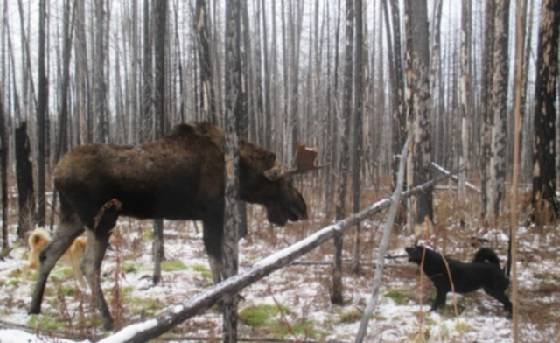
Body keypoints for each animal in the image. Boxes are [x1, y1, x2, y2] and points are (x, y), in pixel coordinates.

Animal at [28, 123, 308, 330]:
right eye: (285, 181)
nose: (302, 207)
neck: (241, 173)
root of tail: (57, 173)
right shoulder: (212, 213)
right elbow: (215, 257)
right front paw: (221, 300)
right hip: (101, 219)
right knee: (88, 265)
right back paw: (107, 319)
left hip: (72, 216)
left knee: (47, 254)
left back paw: (34, 307)